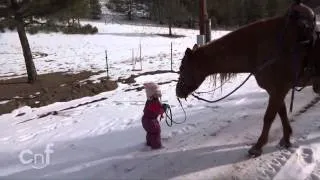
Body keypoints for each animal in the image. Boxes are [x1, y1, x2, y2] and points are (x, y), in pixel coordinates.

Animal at [176, 3, 318, 157]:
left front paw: (258, 146)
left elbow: (269, 117)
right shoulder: (276, 91)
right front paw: (286, 139)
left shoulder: (278, 90)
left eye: (182, 67)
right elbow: (282, 113)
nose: (178, 92)